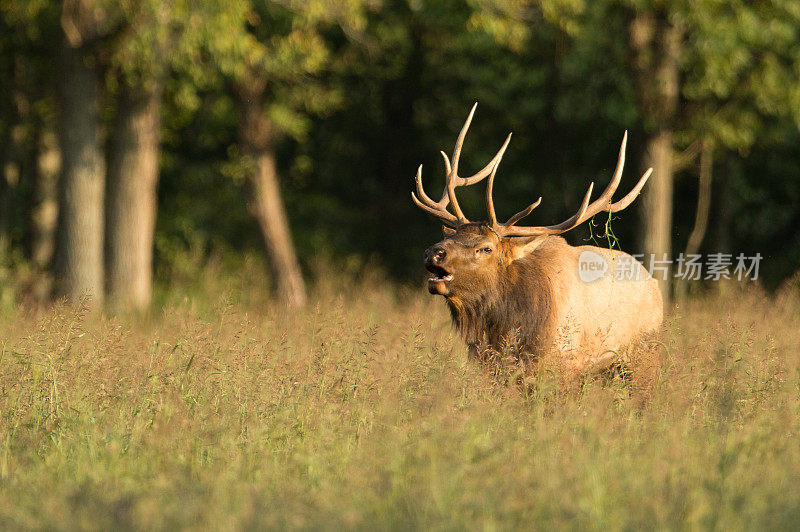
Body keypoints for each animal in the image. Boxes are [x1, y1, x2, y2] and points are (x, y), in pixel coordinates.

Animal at [412, 104, 664, 370]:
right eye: (455, 236)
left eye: (486, 248)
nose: (434, 252)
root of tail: (654, 285)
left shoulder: (564, 362)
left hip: (644, 354)